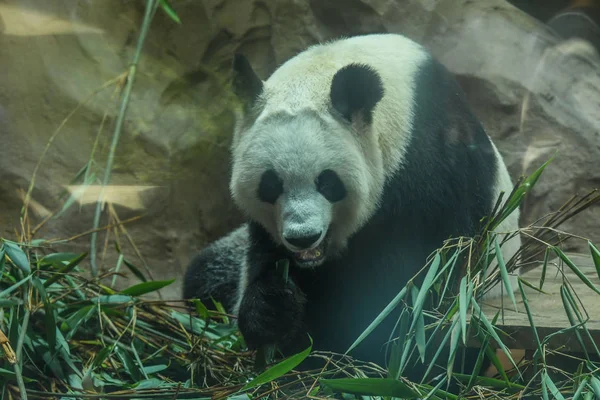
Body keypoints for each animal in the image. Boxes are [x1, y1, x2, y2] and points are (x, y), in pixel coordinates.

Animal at [183, 32, 520, 376]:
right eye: (271, 185)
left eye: (327, 183)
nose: (303, 237)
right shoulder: (265, 230)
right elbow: (262, 262)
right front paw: (274, 309)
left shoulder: (431, 174)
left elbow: (410, 290)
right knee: (205, 274)